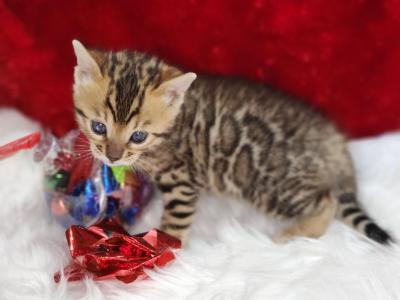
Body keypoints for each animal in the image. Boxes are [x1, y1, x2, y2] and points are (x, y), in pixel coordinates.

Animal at [71, 39, 390, 245]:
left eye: (139, 136)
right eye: (98, 127)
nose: (112, 157)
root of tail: (334, 142)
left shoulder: (182, 183)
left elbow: (174, 227)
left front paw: (163, 254)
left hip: (271, 186)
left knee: (328, 200)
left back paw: (294, 234)